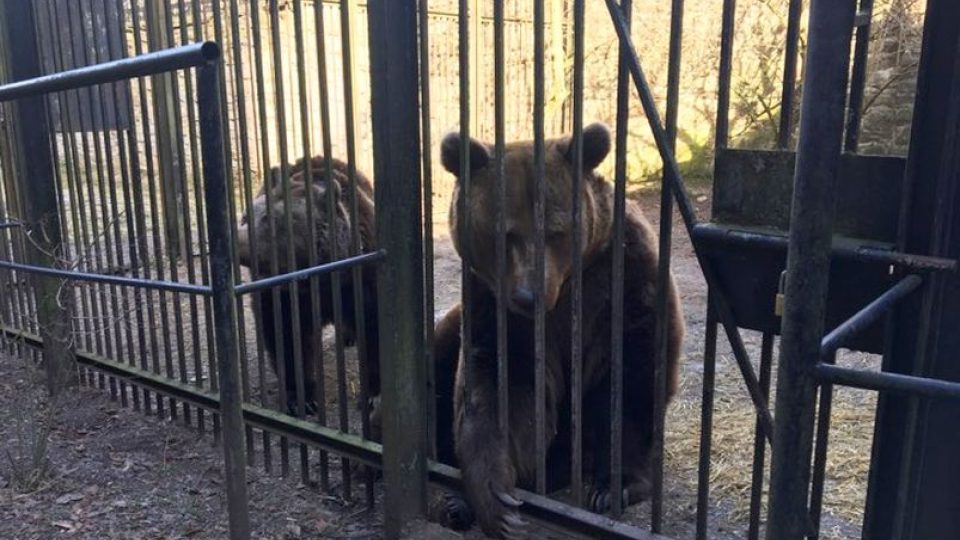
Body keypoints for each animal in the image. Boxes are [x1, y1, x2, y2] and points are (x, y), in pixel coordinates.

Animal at [235, 156, 378, 418]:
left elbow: (373, 327)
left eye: (269, 219)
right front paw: (303, 399)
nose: (237, 239)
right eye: (245, 216)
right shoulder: (281, 296)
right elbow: (288, 339)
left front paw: (374, 394)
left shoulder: (361, 279)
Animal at [438, 123, 688, 540]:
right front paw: (498, 503)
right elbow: (500, 386)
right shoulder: (493, 303)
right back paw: (453, 501)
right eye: (503, 235)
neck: (568, 286)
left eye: (555, 231)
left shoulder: (624, 283)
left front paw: (614, 486)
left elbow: (631, 379)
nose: (529, 295)